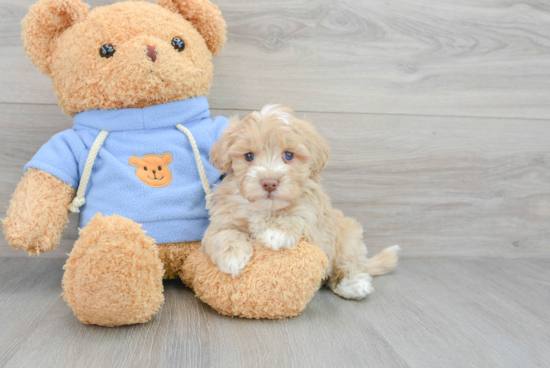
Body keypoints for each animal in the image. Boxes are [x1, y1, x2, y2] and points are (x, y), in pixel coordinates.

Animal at [203, 103, 402, 300]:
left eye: (289, 155)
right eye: (249, 156)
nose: (269, 182)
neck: (267, 209)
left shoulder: (313, 212)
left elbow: (298, 215)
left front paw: (276, 232)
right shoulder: (223, 219)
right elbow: (223, 234)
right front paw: (232, 257)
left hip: (348, 237)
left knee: (351, 262)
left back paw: (353, 284)